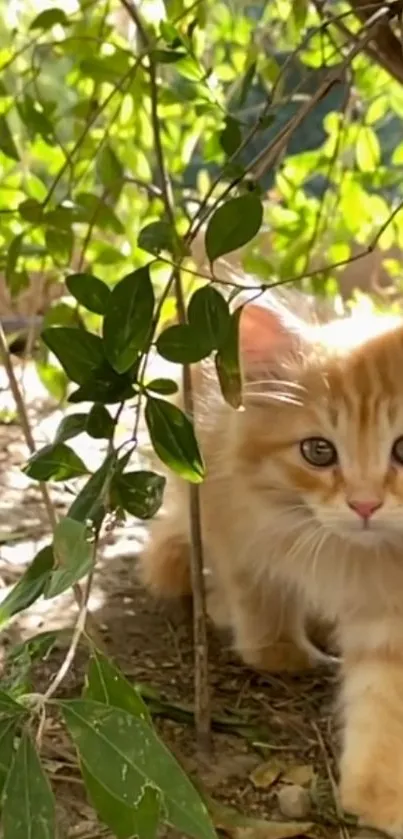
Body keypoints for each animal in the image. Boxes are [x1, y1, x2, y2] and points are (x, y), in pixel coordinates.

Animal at [141, 294, 403, 832]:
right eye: (319, 451)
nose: (364, 505)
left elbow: (382, 697)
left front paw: (379, 794)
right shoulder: (234, 512)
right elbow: (259, 600)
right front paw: (281, 651)